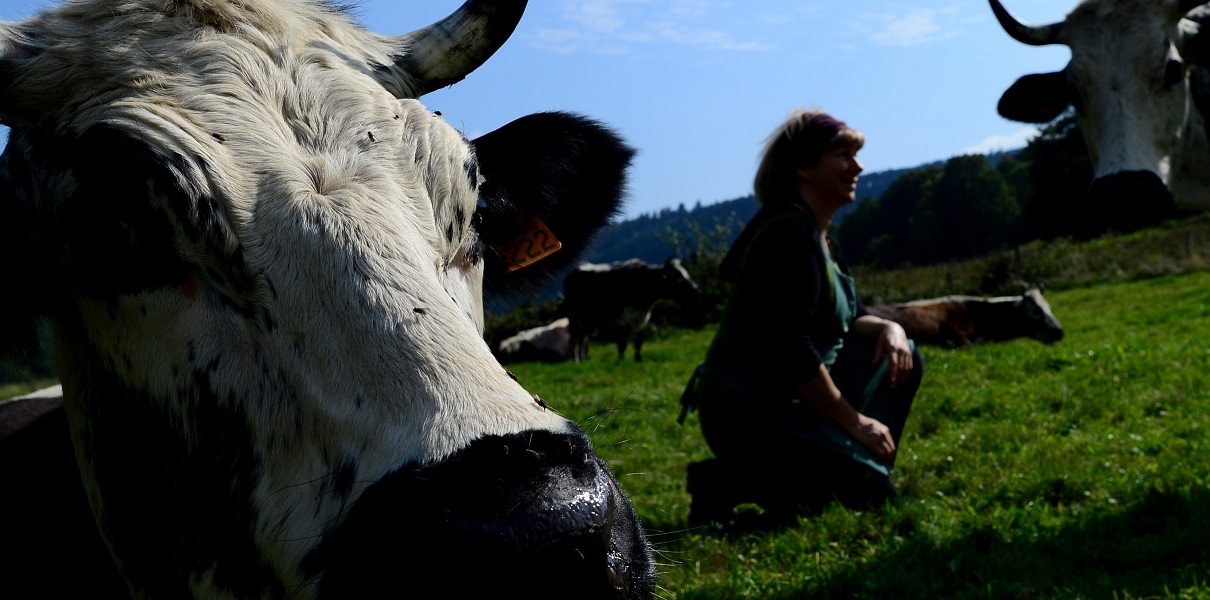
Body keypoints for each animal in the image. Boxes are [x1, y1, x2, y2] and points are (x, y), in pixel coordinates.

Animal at [563, 256, 701, 360]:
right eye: (677, 276)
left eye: (686, 273)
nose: (697, 290)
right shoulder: (621, 321)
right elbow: (622, 344)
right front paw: (621, 360)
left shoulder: (644, 319)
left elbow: (639, 343)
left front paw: (638, 359)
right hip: (573, 318)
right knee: (575, 340)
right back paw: (577, 361)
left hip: (585, 321)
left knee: (583, 339)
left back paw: (583, 359)